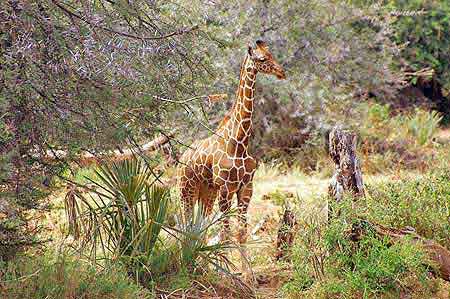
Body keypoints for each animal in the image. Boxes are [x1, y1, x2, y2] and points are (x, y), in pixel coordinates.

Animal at [177, 40, 284, 244]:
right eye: (262, 59)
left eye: (272, 54)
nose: (282, 72)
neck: (239, 142)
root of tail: (180, 160)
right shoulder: (226, 188)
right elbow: (226, 235)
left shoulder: (246, 187)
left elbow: (241, 234)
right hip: (187, 189)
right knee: (186, 227)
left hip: (207, 191)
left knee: (200, 231)